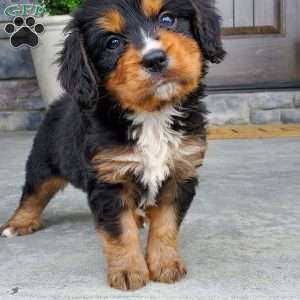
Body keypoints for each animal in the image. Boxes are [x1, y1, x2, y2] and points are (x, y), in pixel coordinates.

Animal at [0, 0, 225, 290]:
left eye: (168, 19)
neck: (152, 116)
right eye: (113, 43)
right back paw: (18, 223)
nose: (155, 59)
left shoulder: (180, 172)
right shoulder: (110, 179)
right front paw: (129, 270)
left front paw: (165, 263)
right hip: (43, 163)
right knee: (33, 194)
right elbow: (119, 231)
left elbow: (166, 224)